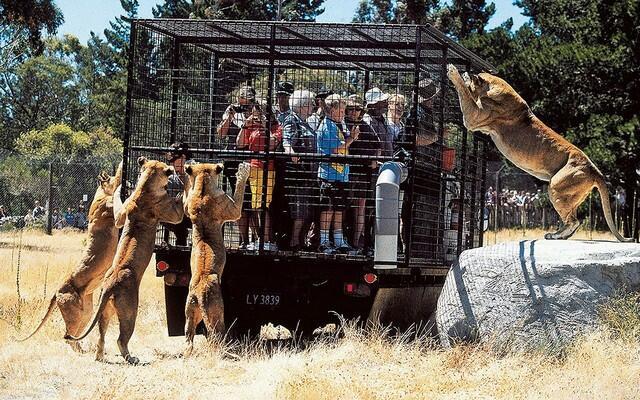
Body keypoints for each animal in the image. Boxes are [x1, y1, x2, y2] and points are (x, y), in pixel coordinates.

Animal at [17, 162, 122, 350]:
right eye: (108, 177)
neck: (100, 194)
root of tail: (56, 291)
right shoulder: (110, 210)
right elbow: (118, 183)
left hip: (85, 312)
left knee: (74, 335)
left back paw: (83, 350)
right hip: (73, 313)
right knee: (67, 336)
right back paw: (81, 352)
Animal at [65, 158, 184, 364]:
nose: (172, 169)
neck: (144, 187)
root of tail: (109, 285)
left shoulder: (122, 215)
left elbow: (118, 210)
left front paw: (120, 187)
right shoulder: (167, 211)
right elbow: (180, 210)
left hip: (105, 311)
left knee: (102, 336)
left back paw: (99, 356)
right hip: (130, 311)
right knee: (121, 338)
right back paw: (132, 358)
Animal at [182, 160, 250, 354]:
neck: (203, 187)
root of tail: (199, 292)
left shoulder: (188, 206)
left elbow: (185, 197)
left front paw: (187, 171)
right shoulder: (232, 209)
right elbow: (239, 194)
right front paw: (243, 171)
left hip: (191, 311)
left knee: (188, 335)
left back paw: (187, 351)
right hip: (217, 312)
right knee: (216, 334)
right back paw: (226, 349)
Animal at [448, 64, 632, 242]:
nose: (467, 71)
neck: (491, 87)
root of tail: (596, 170)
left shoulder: (474, 117)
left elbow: (464, 93)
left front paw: (453, 71)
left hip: (556, 186)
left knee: (574, 221)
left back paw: (555, 235)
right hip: (570, 194)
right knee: (573, 219)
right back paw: (559, 235)